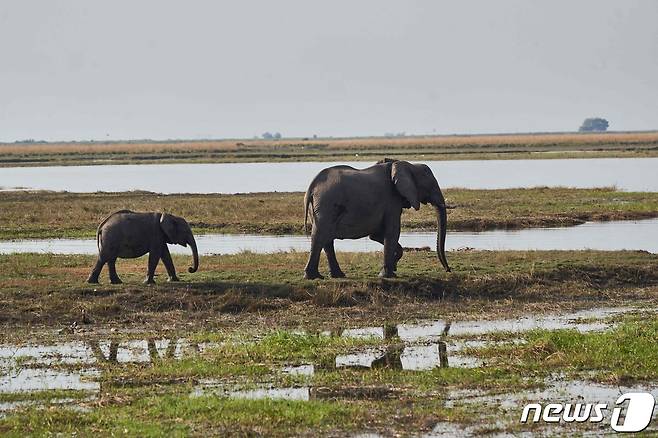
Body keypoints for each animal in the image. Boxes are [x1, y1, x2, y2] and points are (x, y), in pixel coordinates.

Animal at [304, 159, 452, 278]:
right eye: (431, 185)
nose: (448, 270)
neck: (407, 165)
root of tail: (312, 186)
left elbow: (377, 236)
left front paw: (392, 267)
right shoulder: (391, 200)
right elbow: (392, 232)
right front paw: (388, 275)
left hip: (318, 208)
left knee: (326, 240)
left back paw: (336, 275)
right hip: (326, 204)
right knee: (320, 236)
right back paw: (313, 277)